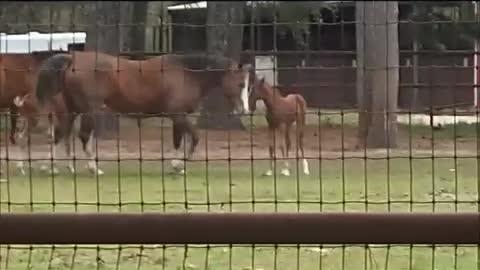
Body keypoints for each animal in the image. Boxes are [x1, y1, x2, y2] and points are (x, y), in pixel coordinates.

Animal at [36, 50, 253, 175]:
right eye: (240, 84)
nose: (244, 110)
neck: (186, 74)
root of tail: (73, 59)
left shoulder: (177, 117)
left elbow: (177, 140)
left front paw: (176, 165)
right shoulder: (178, 115)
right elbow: (195, 137)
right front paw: (181, 164)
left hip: (72, 110)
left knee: (60, 134)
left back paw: (53, 166)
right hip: (90, 110)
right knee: (81, 135)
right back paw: (93, 168)